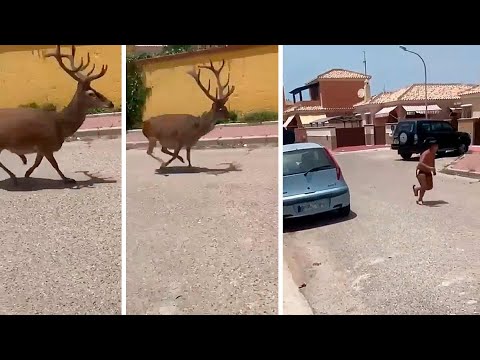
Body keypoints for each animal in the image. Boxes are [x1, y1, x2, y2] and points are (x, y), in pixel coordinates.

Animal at [0, 45, 113, 186]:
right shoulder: (46, 144)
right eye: (91, 93)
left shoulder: (42, 147)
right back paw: (14, 177)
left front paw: (27, 173)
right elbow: (55, 164)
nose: (111, 103)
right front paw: (67, 179)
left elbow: (37, 162)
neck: (60, 125)